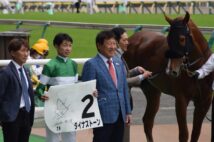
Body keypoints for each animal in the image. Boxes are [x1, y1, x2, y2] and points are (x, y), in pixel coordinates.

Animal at [123, 11, 214, 141]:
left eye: (182, 39)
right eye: (168, 39)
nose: (171, 71)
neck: (197, 74)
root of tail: (132, 39)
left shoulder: (204, 102)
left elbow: (196, 133)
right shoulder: (181, 100)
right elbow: (184, 134)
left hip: (153, 91)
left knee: (148, 121)